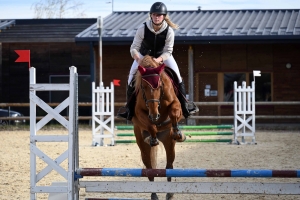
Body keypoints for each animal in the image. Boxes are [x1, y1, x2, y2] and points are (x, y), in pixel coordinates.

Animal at [131, 55, 185, 200]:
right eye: (143, 86)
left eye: (159, 86)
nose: (155, 115)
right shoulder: (138, 112)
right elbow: (150, 125)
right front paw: (153, 137)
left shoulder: (176, 104)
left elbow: (174, 112)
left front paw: (177, 132)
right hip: (142, 146)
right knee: (149, 169)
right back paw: (154, 194)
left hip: (168, 142)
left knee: (169, 166)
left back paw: (169, 193)